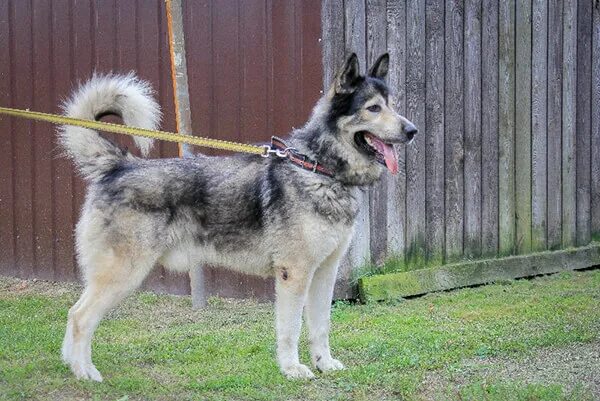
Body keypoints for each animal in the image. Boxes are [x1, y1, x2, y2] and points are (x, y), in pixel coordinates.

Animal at [59, 51, 418, 380]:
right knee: (80, 317)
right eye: (373, 108)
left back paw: (71, 365)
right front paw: (292, 369)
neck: (319, 169)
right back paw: (85, 373)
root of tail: (119, 165)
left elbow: (321, 326)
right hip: (123, 274)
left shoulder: (324, 274)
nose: (412, 130)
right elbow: (290, 330)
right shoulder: (294, 275)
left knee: (72, 313)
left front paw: (324, 364)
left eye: (392, 104)